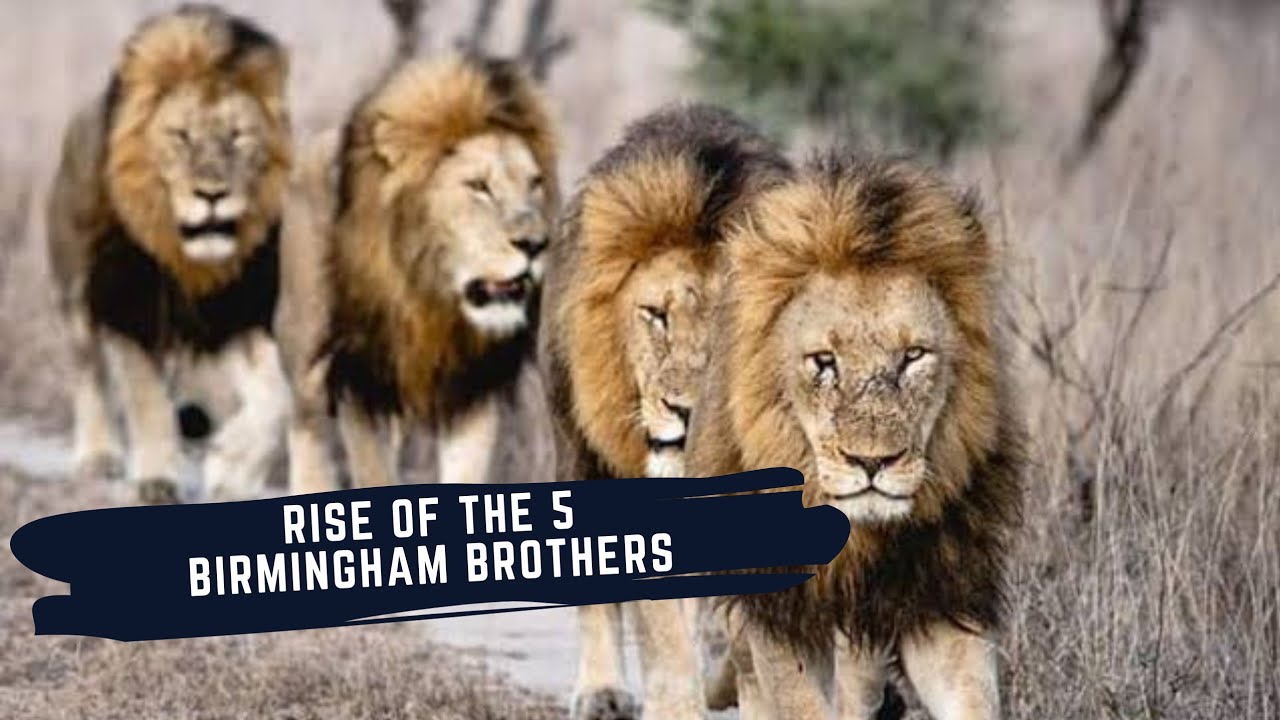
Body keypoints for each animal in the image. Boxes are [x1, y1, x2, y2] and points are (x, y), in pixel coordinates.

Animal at [47, 5, 292, 504]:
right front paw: (157, 480)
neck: (188, 260)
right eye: (181, 136)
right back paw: (99, 455)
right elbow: (146, 399)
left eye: (237, 136)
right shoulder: (128, 308)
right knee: (90, 373)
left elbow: (276, 395)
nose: (212, 194)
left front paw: (231, 469)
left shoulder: (235, 313)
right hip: (77, 293)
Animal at [276, 55, 558, 493]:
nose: (535, 244)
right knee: (308, 438)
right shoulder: (358, 378)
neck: (429, 295)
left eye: (536, 184)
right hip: (308, 362)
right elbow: (372, 474)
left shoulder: (472, 389)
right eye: (478, 186)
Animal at [539, 105, 791, 720]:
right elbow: (661, 626)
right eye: (655, 315)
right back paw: (603, 692)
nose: (685, 411)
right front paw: (676, 702)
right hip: (574, 443)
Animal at [687, 152, 1025, 719]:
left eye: (913, 356)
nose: (873, 462)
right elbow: (799, 703)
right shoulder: (781, 612)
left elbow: (972, 698)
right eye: (824, 361)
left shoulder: (939, 592)